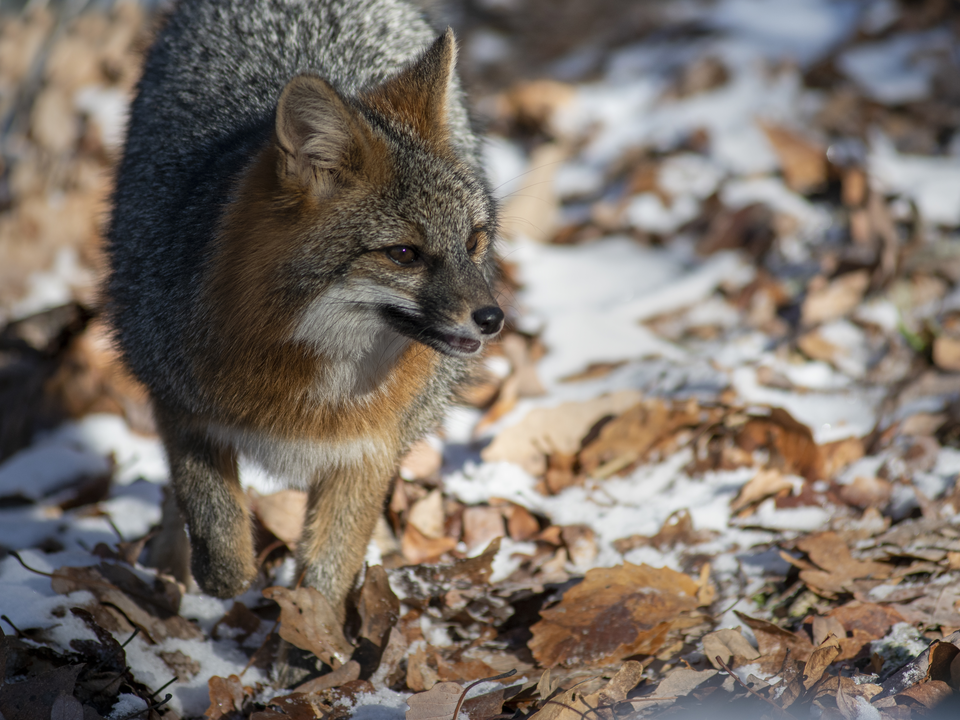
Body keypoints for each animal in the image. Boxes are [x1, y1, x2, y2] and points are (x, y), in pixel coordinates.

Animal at [107, 0, 502, 620]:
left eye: (474, 241)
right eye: (404, 254)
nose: (492, 318)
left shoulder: (367, 450)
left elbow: (326, 573)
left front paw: (316, 638)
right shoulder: (177, 403)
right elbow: (217, 533)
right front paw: (219, 574)